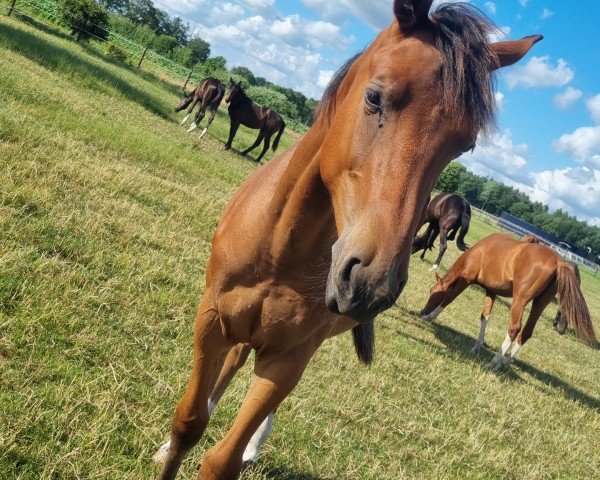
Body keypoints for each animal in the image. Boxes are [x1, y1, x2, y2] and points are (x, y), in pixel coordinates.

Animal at [154, 1, 540, 478]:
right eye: (374, 97)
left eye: (463, 145)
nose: (370, 284)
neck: (279, 251)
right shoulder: (211, 321)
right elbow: (189, 421)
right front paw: (170, 446)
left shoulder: (288, 358)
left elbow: (222, 458)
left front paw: (242, 449)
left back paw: (254, 446)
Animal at [420, 232, 596, 372]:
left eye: (432, 292)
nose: (422, 312)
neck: (479, 250)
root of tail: (558, 261)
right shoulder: (491, 291)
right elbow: (485, 317)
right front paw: (477, 345)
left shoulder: (466, 279)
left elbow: (448, 298)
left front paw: (430, 317)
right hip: (539, 303)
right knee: (526, 332)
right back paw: (504, 363)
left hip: (520, 300)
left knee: (514, 329)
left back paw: (493, 362)